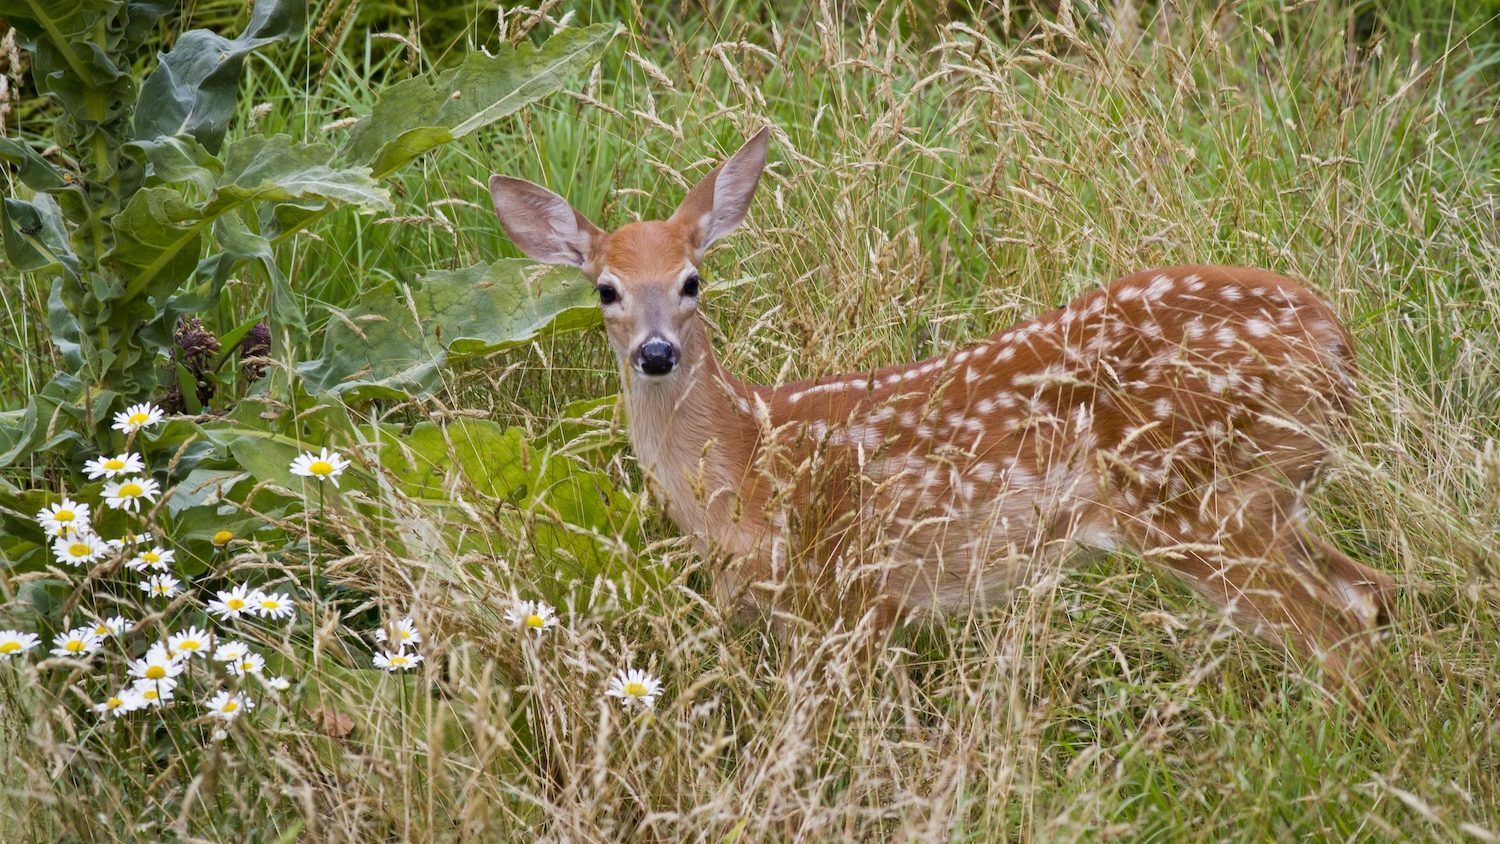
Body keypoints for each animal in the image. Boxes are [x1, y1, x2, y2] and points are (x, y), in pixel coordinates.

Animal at [488, 127, 1396, 680]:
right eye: (605, 289)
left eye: (691, 281)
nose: (656, 353)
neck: (745, 453)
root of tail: (1337, 336)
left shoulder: (852, 588)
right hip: (1267, 489)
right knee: (1368, 591)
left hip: (1187, 495)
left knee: (1335, 632)